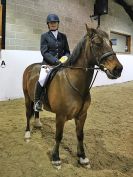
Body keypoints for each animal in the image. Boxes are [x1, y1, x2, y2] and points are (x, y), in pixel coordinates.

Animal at [22, 24, 122, 167]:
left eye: (111, 43)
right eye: (97, 43)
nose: (118, 69)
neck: (76, 84)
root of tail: (30, 67)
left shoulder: (82, 115)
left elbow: (80, 135)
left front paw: (82, 157)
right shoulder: (61, 115)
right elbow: (59, 135)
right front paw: (56, 158)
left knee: (36, 111)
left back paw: (37, 123)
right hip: (26, 97)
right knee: (28, 113)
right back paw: (27, 134)